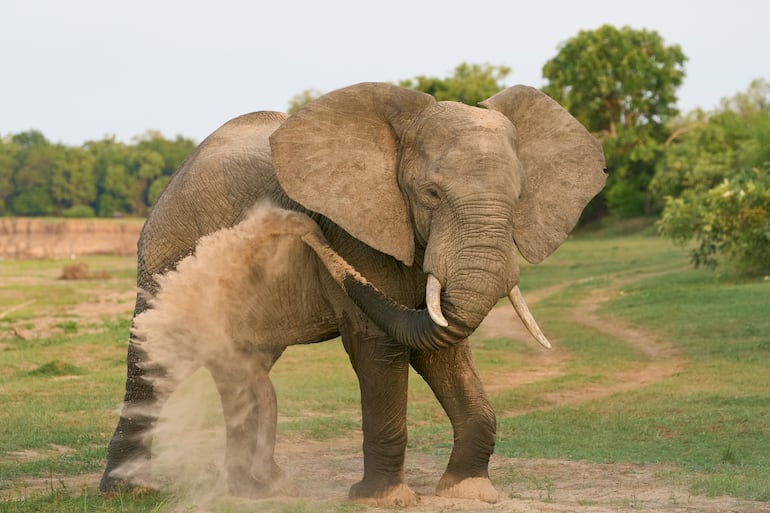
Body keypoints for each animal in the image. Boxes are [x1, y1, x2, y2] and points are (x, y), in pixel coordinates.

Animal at [99, 82, 606, 506]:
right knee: (156, 359)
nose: (296, 224)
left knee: (245, 368)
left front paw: (470, 492)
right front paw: (385, 500)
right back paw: (128, 492)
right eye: (431, 193)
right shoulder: (353, 230)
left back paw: (260, 491)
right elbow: (381, 344)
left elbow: (443, 344)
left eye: (519, 197)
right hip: (168, 250)